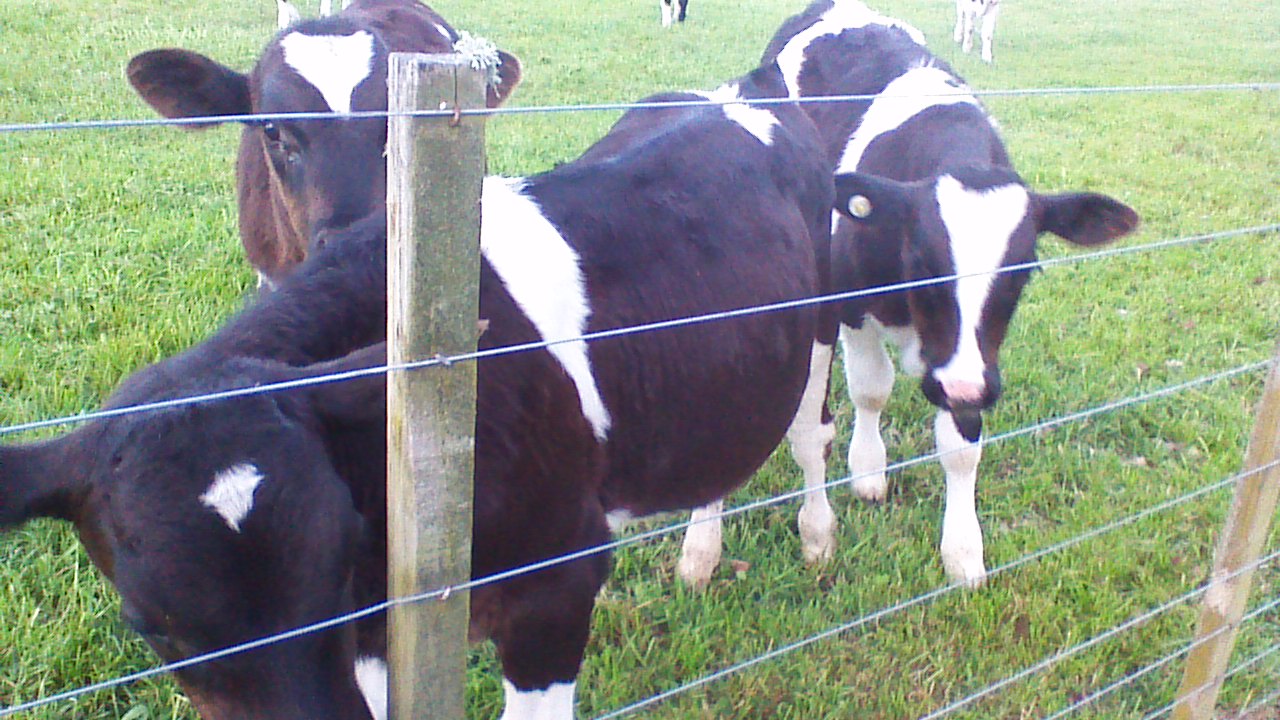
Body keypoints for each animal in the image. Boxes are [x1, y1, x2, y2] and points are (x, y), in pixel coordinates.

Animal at [2, 63, 839, 717]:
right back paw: (699, 556)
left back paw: (819, 536)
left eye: (332, 566)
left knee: (807, 430)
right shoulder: (371, 636)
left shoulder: (558, 579)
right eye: (150, 625)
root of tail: (738, 88)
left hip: (822, 319)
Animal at [680, 0, 1141, 589]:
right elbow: (870, 390)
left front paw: (964, 552)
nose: (964, 387)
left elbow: (962, 446)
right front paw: (867, 470)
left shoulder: (968, 359)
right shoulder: (846, 307)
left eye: (1023, 272)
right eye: (922, 263)